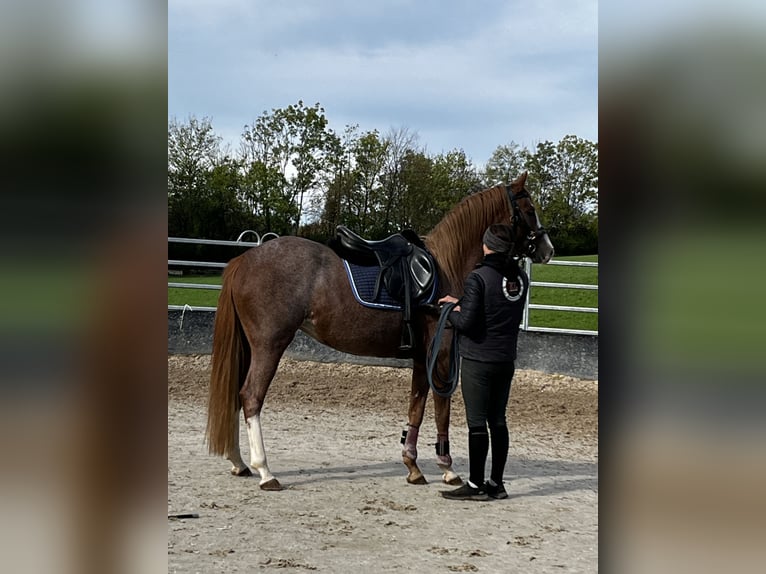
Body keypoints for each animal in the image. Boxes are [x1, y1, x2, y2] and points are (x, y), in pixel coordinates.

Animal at [206, 171, 552, 490]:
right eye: (530, 208)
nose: (547, 248)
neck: (445, 266)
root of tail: (245, 259)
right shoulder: (440, 357)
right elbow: (441, 408)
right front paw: (448, 468)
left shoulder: (422, 358)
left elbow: (417, 405)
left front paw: (413, 466)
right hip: (269, 345)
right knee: (251, 397)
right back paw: (265, 471)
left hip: (250, 347)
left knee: (236, 395)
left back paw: (239, 462)